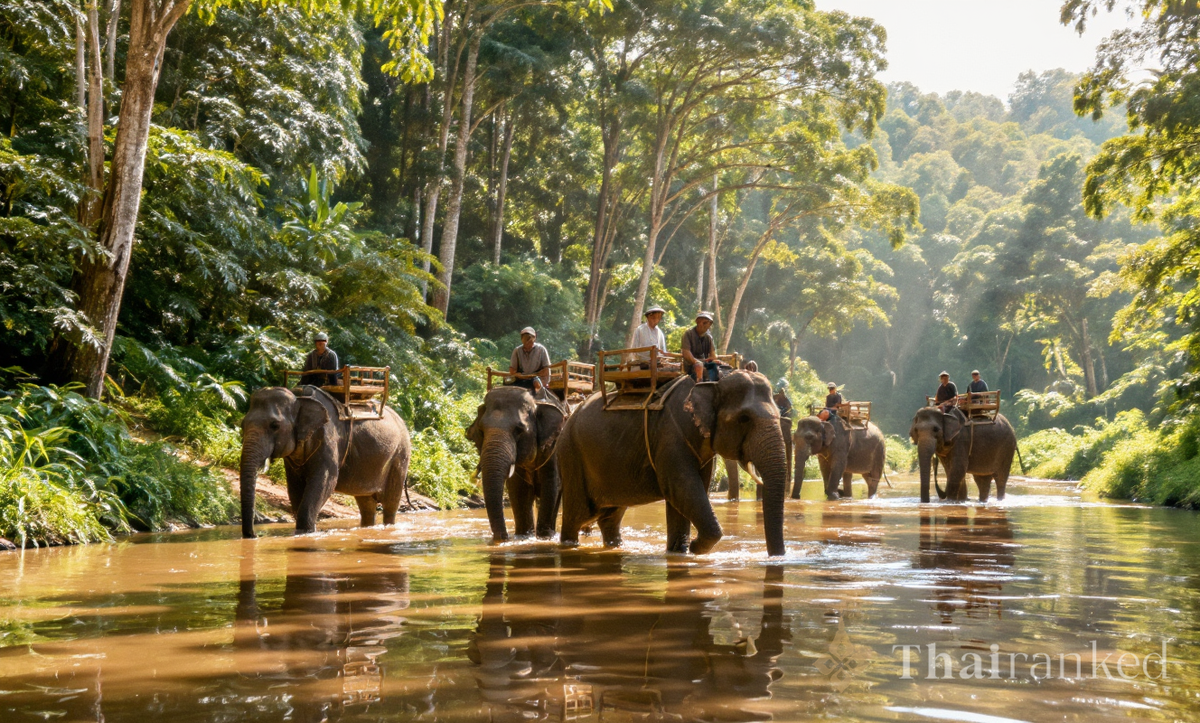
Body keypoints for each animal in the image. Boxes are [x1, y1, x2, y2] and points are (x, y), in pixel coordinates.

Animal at [239, 385, 411, 538]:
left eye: (275, 425)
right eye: (242, 424)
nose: (254, 535)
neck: (299, 397)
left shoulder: (329, 437)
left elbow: (326, 481)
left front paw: (305, 533)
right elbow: (294, 488)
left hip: (400, 455)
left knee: (390, 502)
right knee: (366, 503)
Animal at [466, 386, 568, 542]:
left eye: (518, 430)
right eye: (481, 431)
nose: (503, 537)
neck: (535, 402)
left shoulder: (553, 448)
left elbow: (551, 486)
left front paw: (544, 537)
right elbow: (519, 490)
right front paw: (523, 536)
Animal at [557, 371, 788, 556]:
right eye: (744, 418)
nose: (776, 557)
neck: (714, 380)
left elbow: (686, 493)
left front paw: (680, 551)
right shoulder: (671, 433)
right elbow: (682, 487)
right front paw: (694, 548)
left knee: (610, 518)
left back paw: (615, 546)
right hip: (571, 454)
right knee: (576, 515)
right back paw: (570, 544)